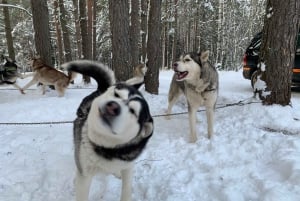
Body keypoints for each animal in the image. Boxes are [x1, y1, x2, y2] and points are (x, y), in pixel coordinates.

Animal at [64, 60, 154, 201]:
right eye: (117, 95)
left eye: (133, 111)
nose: (112, 107)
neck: (107, 148)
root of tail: (102, 89)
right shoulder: (85, 176)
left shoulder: (128, 167)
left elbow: (126, 191)